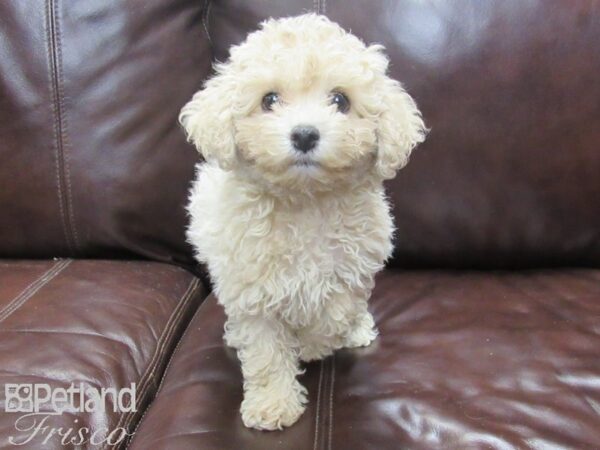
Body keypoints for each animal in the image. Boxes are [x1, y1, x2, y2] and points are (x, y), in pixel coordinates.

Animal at [179, 13, 426, 428]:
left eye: (340, 100)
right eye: (269, 99)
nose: (306, 134)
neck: (304, 202)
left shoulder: (351, 270)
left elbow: (333, 316)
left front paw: (311, 345)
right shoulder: (253, 290)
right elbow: (265, 351)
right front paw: (272, 404)